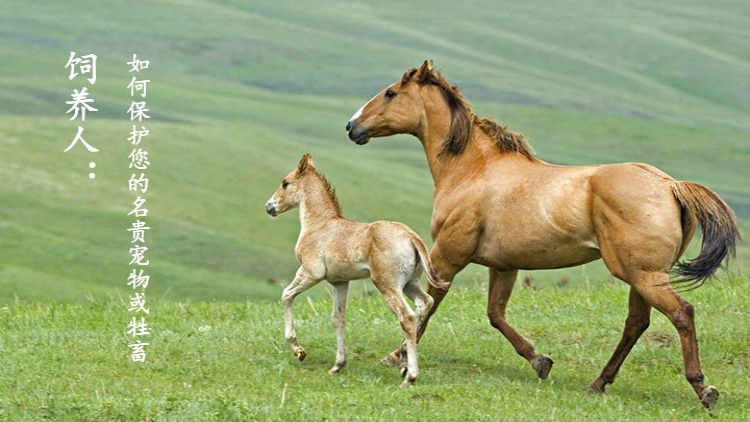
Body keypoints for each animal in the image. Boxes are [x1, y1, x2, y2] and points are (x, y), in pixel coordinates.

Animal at [346, 61, 740, 408]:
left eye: (391, 93)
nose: (352, 126)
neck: (472, 170)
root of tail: (671, 185)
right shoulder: (503, 265)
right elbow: (495, 314)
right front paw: (539, 360)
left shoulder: (447, 256)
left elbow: (428, 306)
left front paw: (397, 357)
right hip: (640, 275)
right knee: (636, 323)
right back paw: (598, 384)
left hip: (643, 275)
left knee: (681, 314)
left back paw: (703, 389)